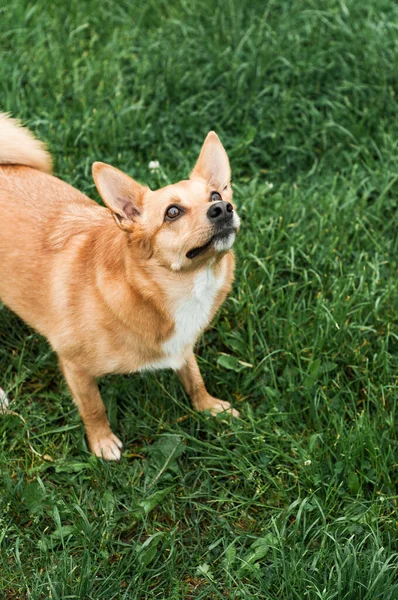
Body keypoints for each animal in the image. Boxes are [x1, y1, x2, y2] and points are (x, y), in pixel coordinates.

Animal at [0, 112, 239, 460]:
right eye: (172, 212)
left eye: (216, 196)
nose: (223, 209)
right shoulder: (75, 367)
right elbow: (93, 407)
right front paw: (101, 442)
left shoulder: (183, 347)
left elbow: (194, 378)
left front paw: (208, 407)